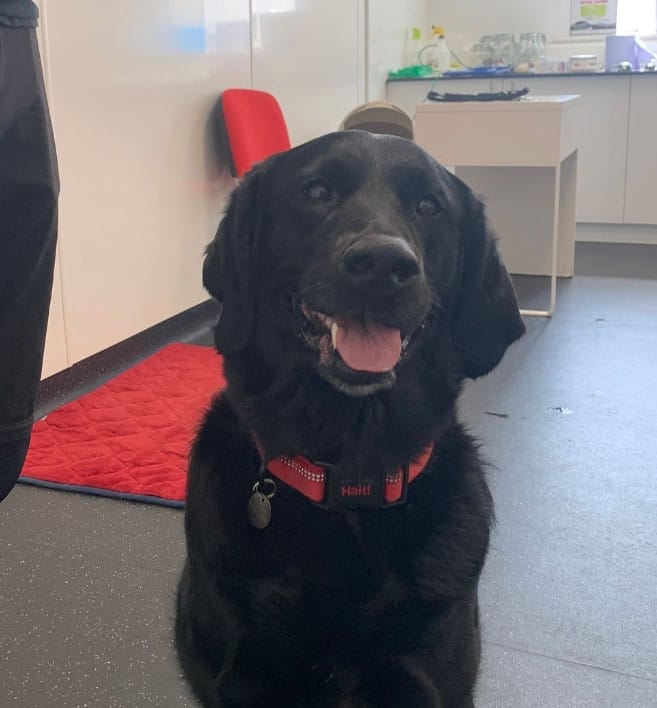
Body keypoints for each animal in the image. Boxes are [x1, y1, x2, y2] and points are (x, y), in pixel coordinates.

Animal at [174, 130, 524, 704]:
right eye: (317, 191)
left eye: (428, 206)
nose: (383, 264)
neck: (347, 479)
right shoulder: (248, 671)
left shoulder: (422, 673)